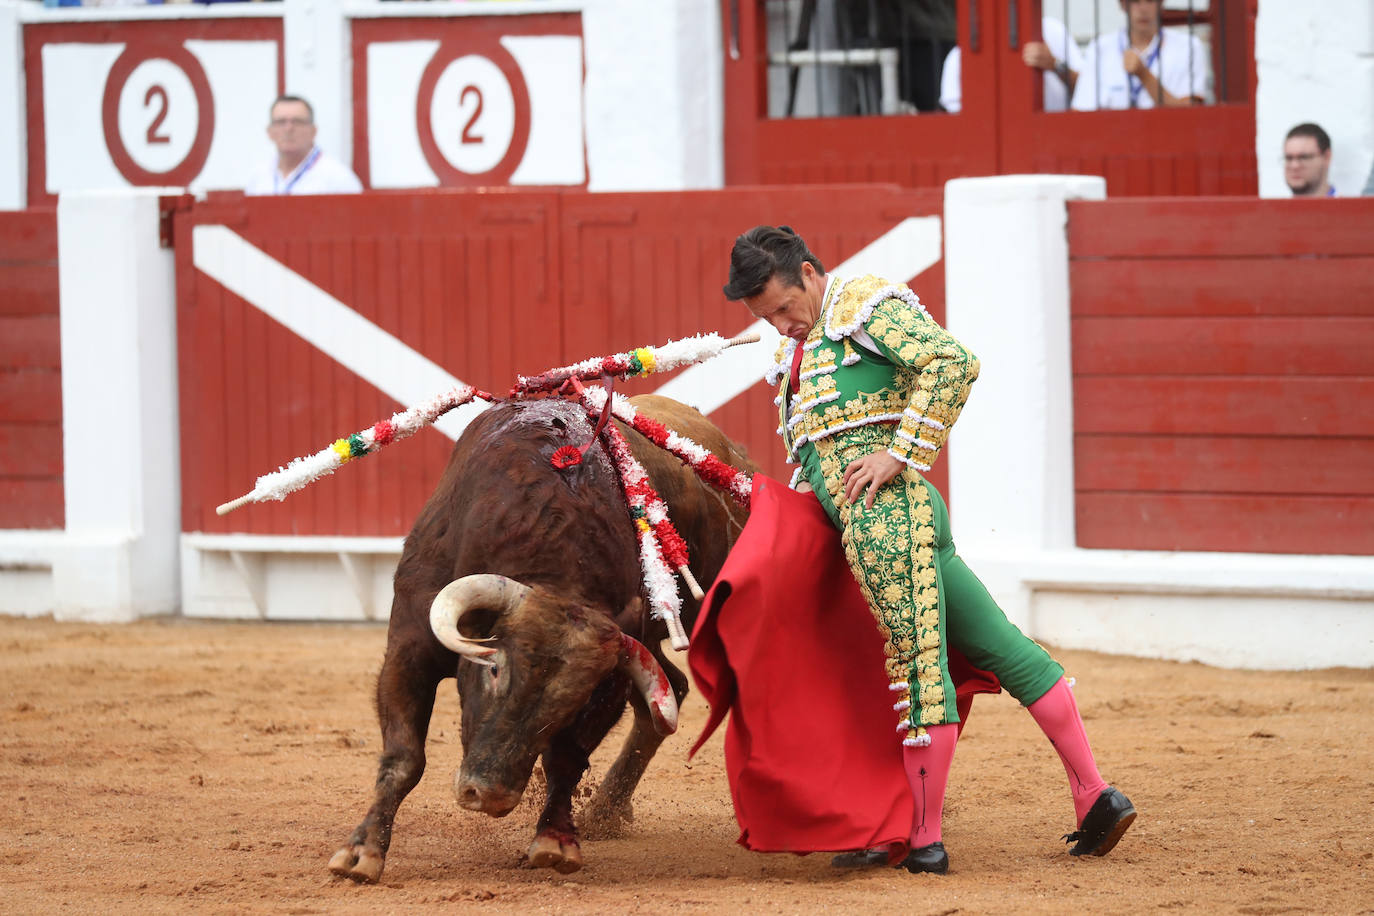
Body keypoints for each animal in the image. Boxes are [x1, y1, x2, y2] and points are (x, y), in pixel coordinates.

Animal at [328, 392, 758, 878]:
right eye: (494, 670)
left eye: (576, 700)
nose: (490, 795)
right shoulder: (409, 645)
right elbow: (404, 757)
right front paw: (362, 852)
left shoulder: (610, 680)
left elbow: (567, 760)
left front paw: (555, 839)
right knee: (674, 688)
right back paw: (608, 809)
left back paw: (605, 809)